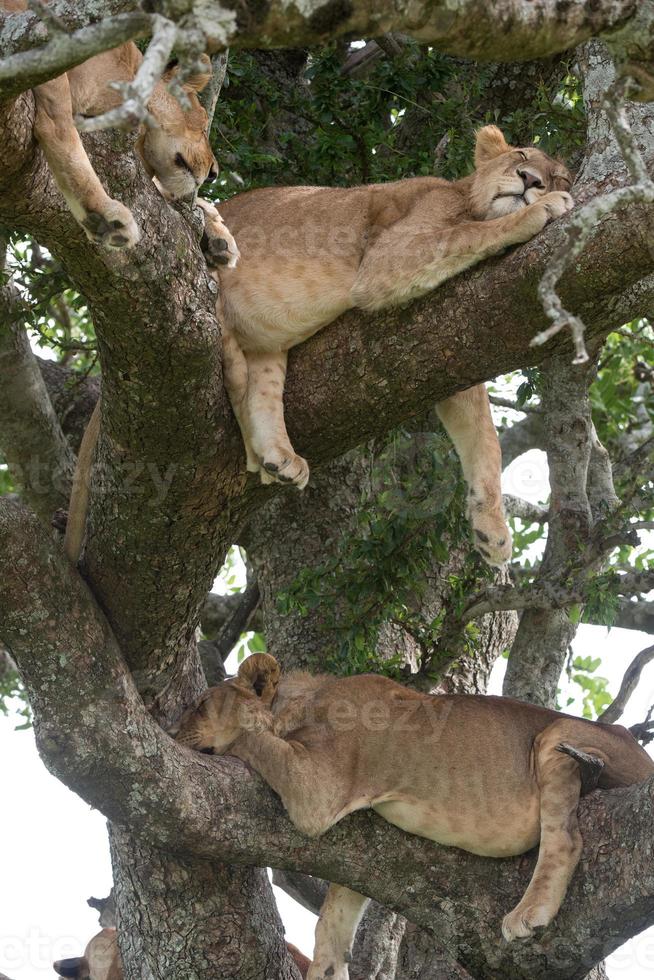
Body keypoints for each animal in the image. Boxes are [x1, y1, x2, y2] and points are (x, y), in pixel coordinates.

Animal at [208, 126, 572, 564]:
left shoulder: (455, 348)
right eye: (520, 155)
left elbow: (485, 438)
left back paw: (278, 459)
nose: (532, 181)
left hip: (267, 345)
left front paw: (493, 530)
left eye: (560, 176)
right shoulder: (387, 258)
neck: (465, 196)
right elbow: (468, 233)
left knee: (262, 392)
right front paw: (543, 209)